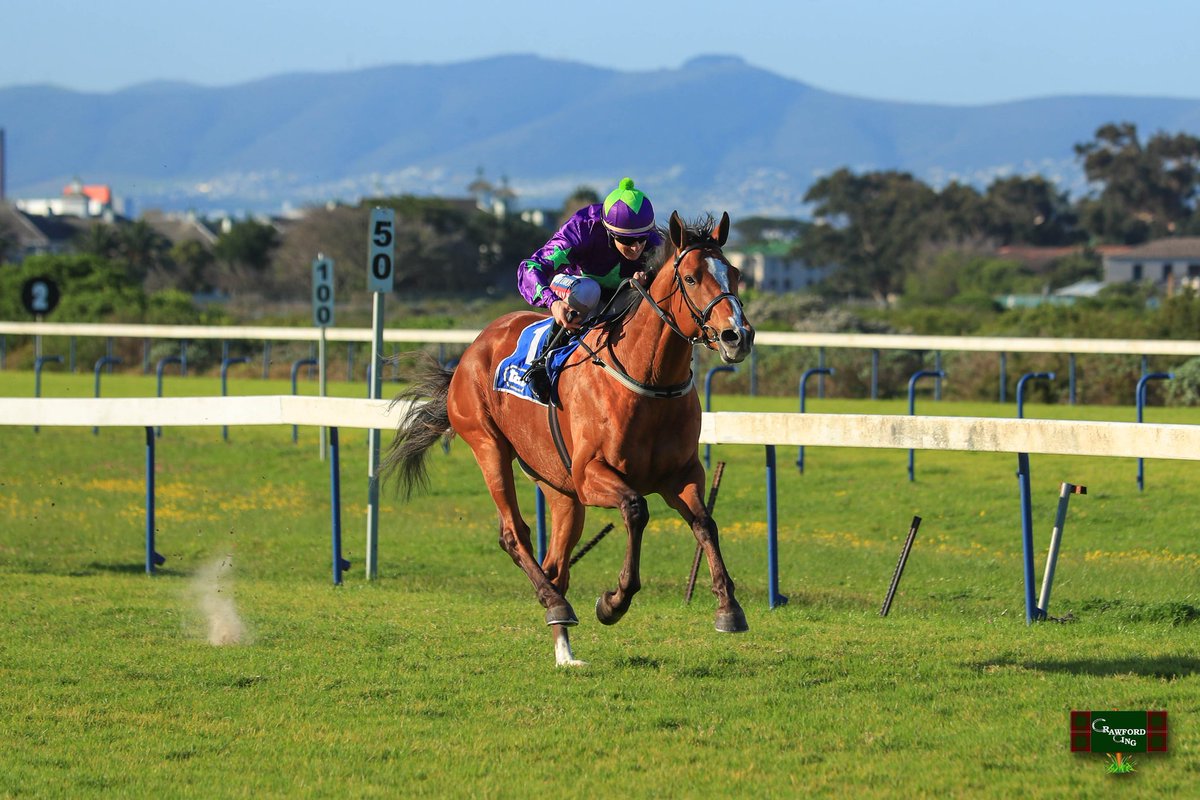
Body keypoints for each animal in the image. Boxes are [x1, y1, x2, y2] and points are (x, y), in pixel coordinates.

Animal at [382, 210, 755, 666]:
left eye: (734, 273)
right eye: (690, 276)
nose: (738, 336)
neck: (649, 381)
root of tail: (470, 351)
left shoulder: (682, 474)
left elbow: (705, 523)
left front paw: (729, 609)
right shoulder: (591, 474)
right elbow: (636, 510)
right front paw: (613, 602)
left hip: (558, 488)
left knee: (556, 562)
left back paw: (564, 647)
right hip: (489, 446)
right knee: (514, 534)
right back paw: (556, 605)